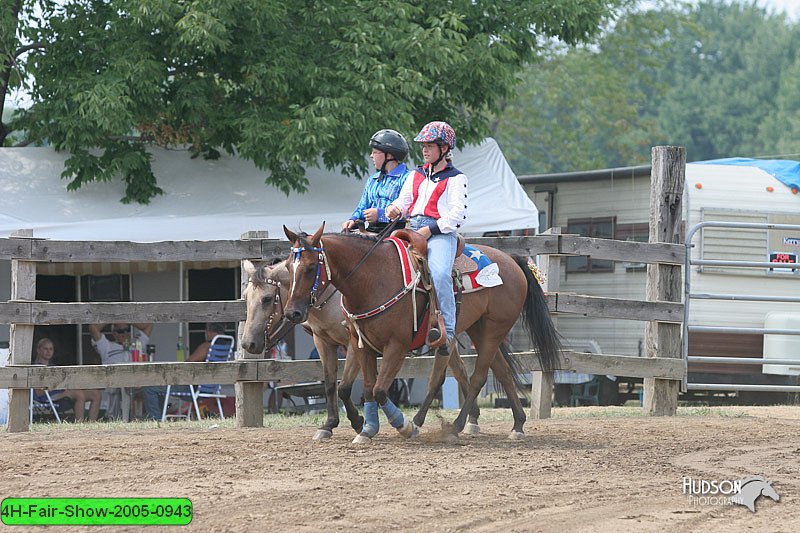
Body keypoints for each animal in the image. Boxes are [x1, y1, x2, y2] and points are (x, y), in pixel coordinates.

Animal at [284, 222, 560, 442]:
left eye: (310, 267)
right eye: (288, 267)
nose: (292, 313)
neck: (372, 278)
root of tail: (511, 260)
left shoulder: (395, 345)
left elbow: (378, 389)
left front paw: (401, 426)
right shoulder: (359, 342)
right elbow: (360, 387)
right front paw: (365, 428)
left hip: (494, 329)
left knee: (478, 377)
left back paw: (451, 426)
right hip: (478, 330)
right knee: (499, 371)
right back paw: (517, 425)